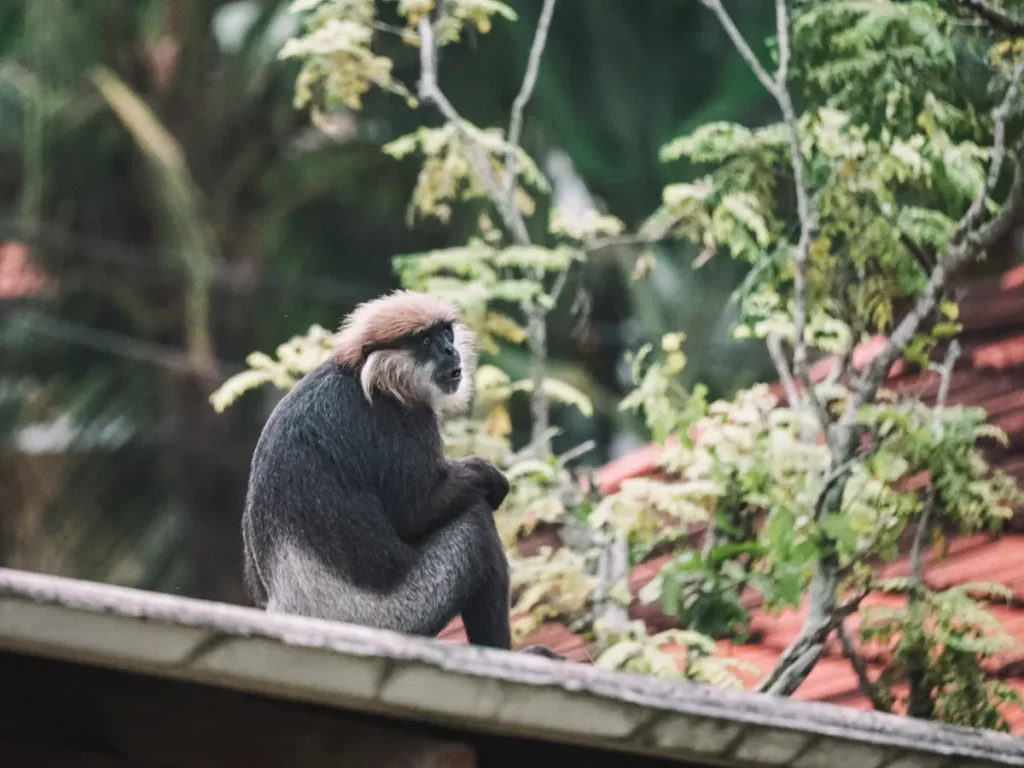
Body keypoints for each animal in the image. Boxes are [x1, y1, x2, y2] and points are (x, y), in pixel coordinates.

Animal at [241, 290, 520, 651]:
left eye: (446, 333)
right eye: (425, 341)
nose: (450, 350)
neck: (361, 375)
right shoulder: (401, 419)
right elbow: (414, 514)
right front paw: (483, 473)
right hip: (399, 614)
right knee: (476, 526)